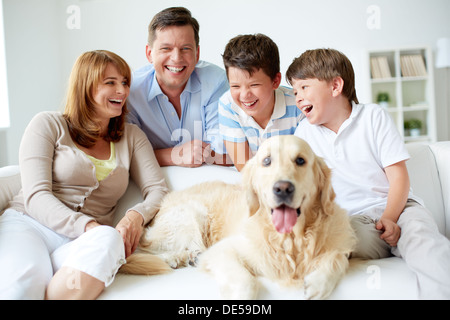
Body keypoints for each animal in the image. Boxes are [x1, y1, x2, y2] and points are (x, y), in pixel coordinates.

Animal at [121, 135, 356, 300]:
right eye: (266, 161)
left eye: (300, 160)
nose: (282, 188)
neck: (290, 240)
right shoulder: (225, 250)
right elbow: (247, 282)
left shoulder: (339, 245)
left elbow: (338, 258)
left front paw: (317, 284)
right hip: (192, 214)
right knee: (139, 250)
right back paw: (174, 258)